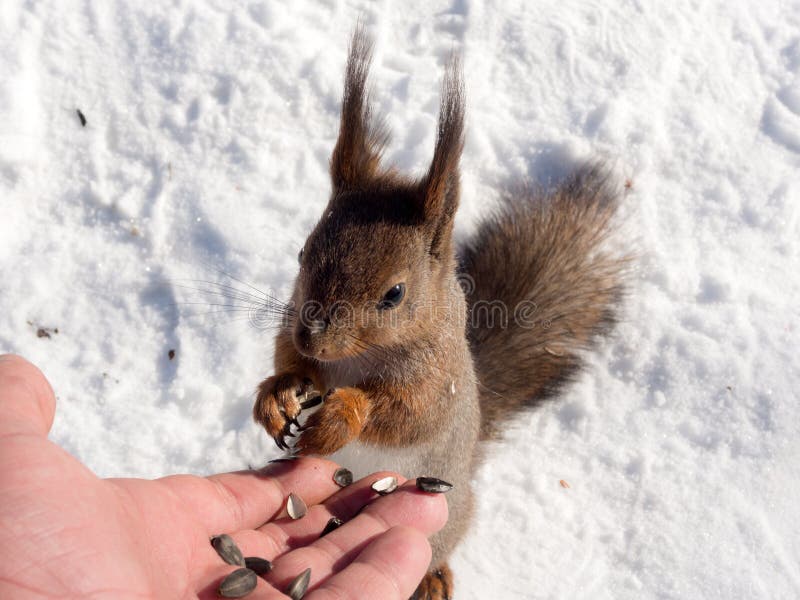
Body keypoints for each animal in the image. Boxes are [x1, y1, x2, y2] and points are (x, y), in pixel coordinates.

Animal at [252, 26, 627, 600]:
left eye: (394, 294)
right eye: (301, 255)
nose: (312, 339)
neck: (355, 359)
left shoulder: (439, 379)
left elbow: (408, 415)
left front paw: (341, 416)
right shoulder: (287, 331)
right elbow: (283, 362)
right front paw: (277, 395)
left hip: (447, 512)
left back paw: (432, 577)